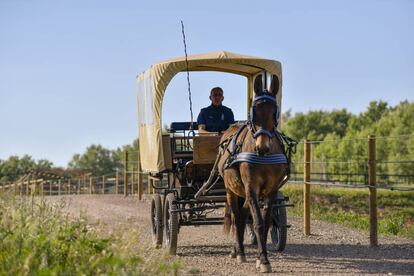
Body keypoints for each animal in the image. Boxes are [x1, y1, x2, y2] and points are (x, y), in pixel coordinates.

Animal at [218, 74, 290, 272]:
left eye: (274, 112)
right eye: (254, 112)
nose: (262, 147)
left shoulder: (271, 190)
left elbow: (265, 223)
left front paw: (261, 257)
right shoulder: (251, 187)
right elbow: (257, 222)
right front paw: (264, 260)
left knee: (243, 216)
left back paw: (238, 250)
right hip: (231, 190)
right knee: (236, 217)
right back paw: (239, 252)